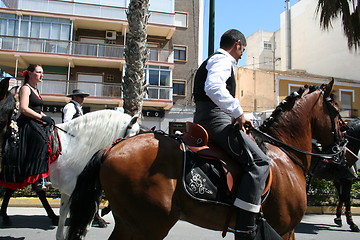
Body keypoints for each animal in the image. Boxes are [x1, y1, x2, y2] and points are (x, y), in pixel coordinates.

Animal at [67, 79, 344, 239]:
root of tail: (111, 148)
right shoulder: (285, 230)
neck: (285, 156)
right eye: (338, 111)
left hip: (132, 223)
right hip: (149, 225)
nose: (342, 147)